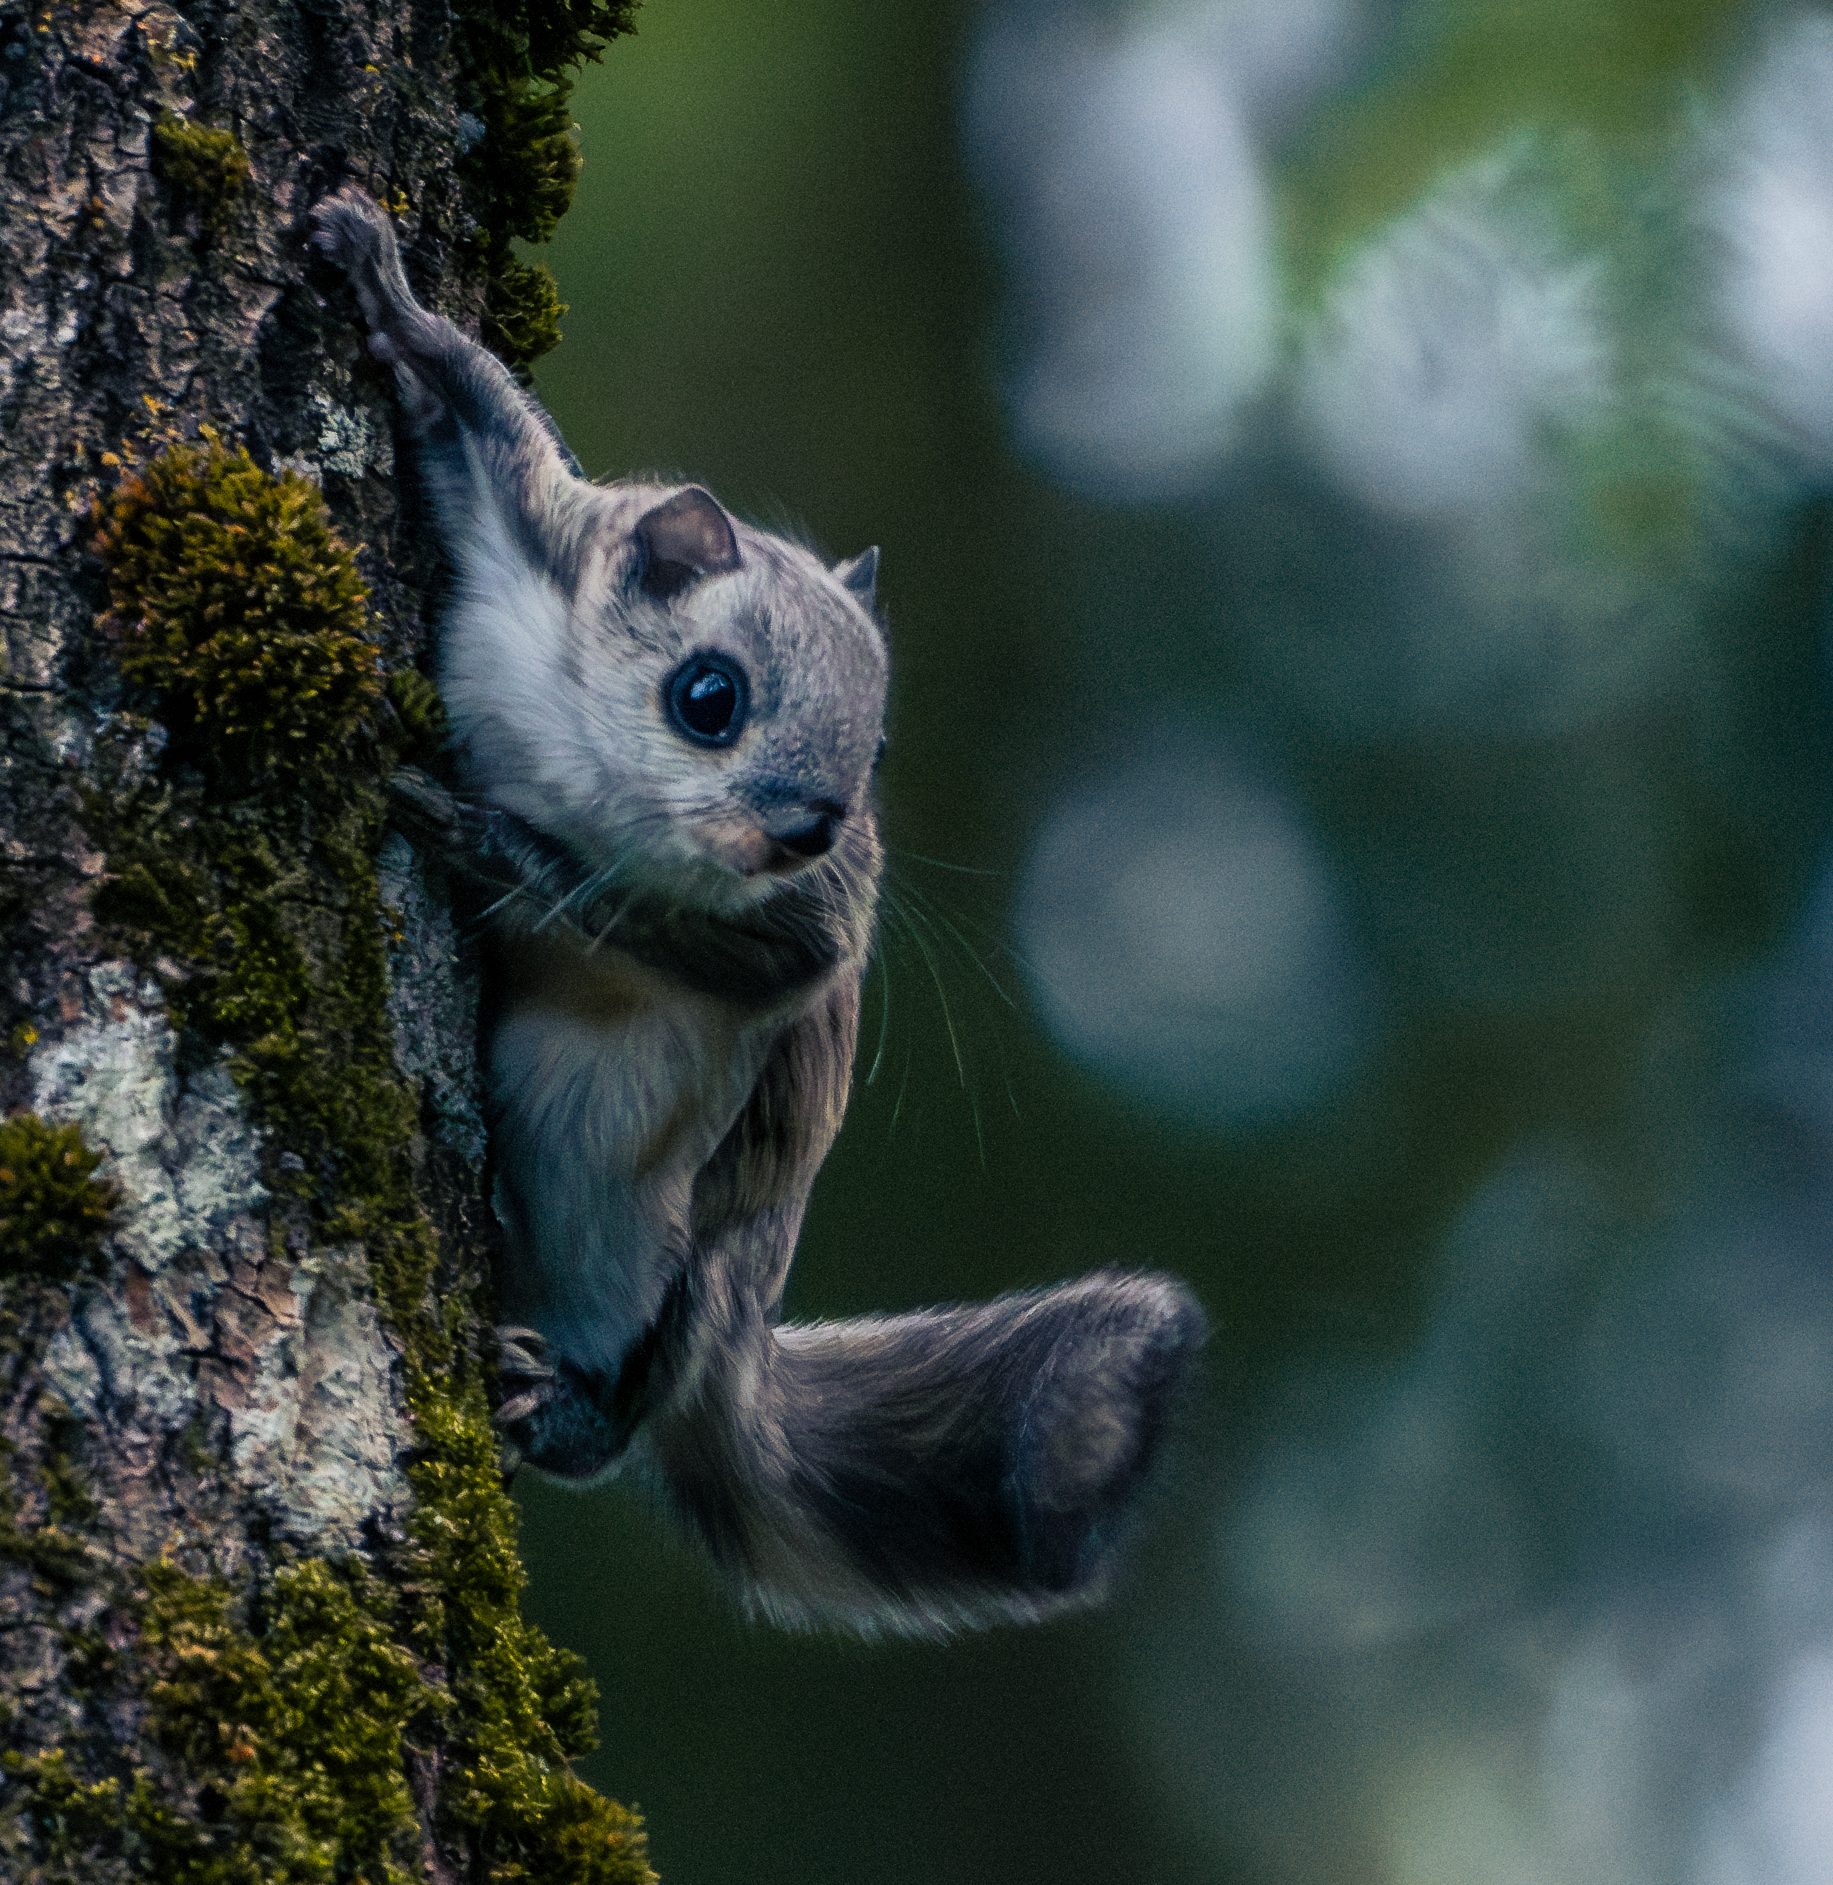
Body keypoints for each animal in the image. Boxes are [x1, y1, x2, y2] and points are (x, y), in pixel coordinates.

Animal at [310, 185, 1206, 1635]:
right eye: (709, 696)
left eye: (877, 744)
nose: (811, 830)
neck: (591, 767)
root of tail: (738, 1331)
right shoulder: (529, 543)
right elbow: (483, 424)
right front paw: (395, 299)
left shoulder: (804, 929)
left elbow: (704, 935)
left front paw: (495, 844)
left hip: (659, 1239)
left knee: (630, 1398)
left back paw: (559, 1411)